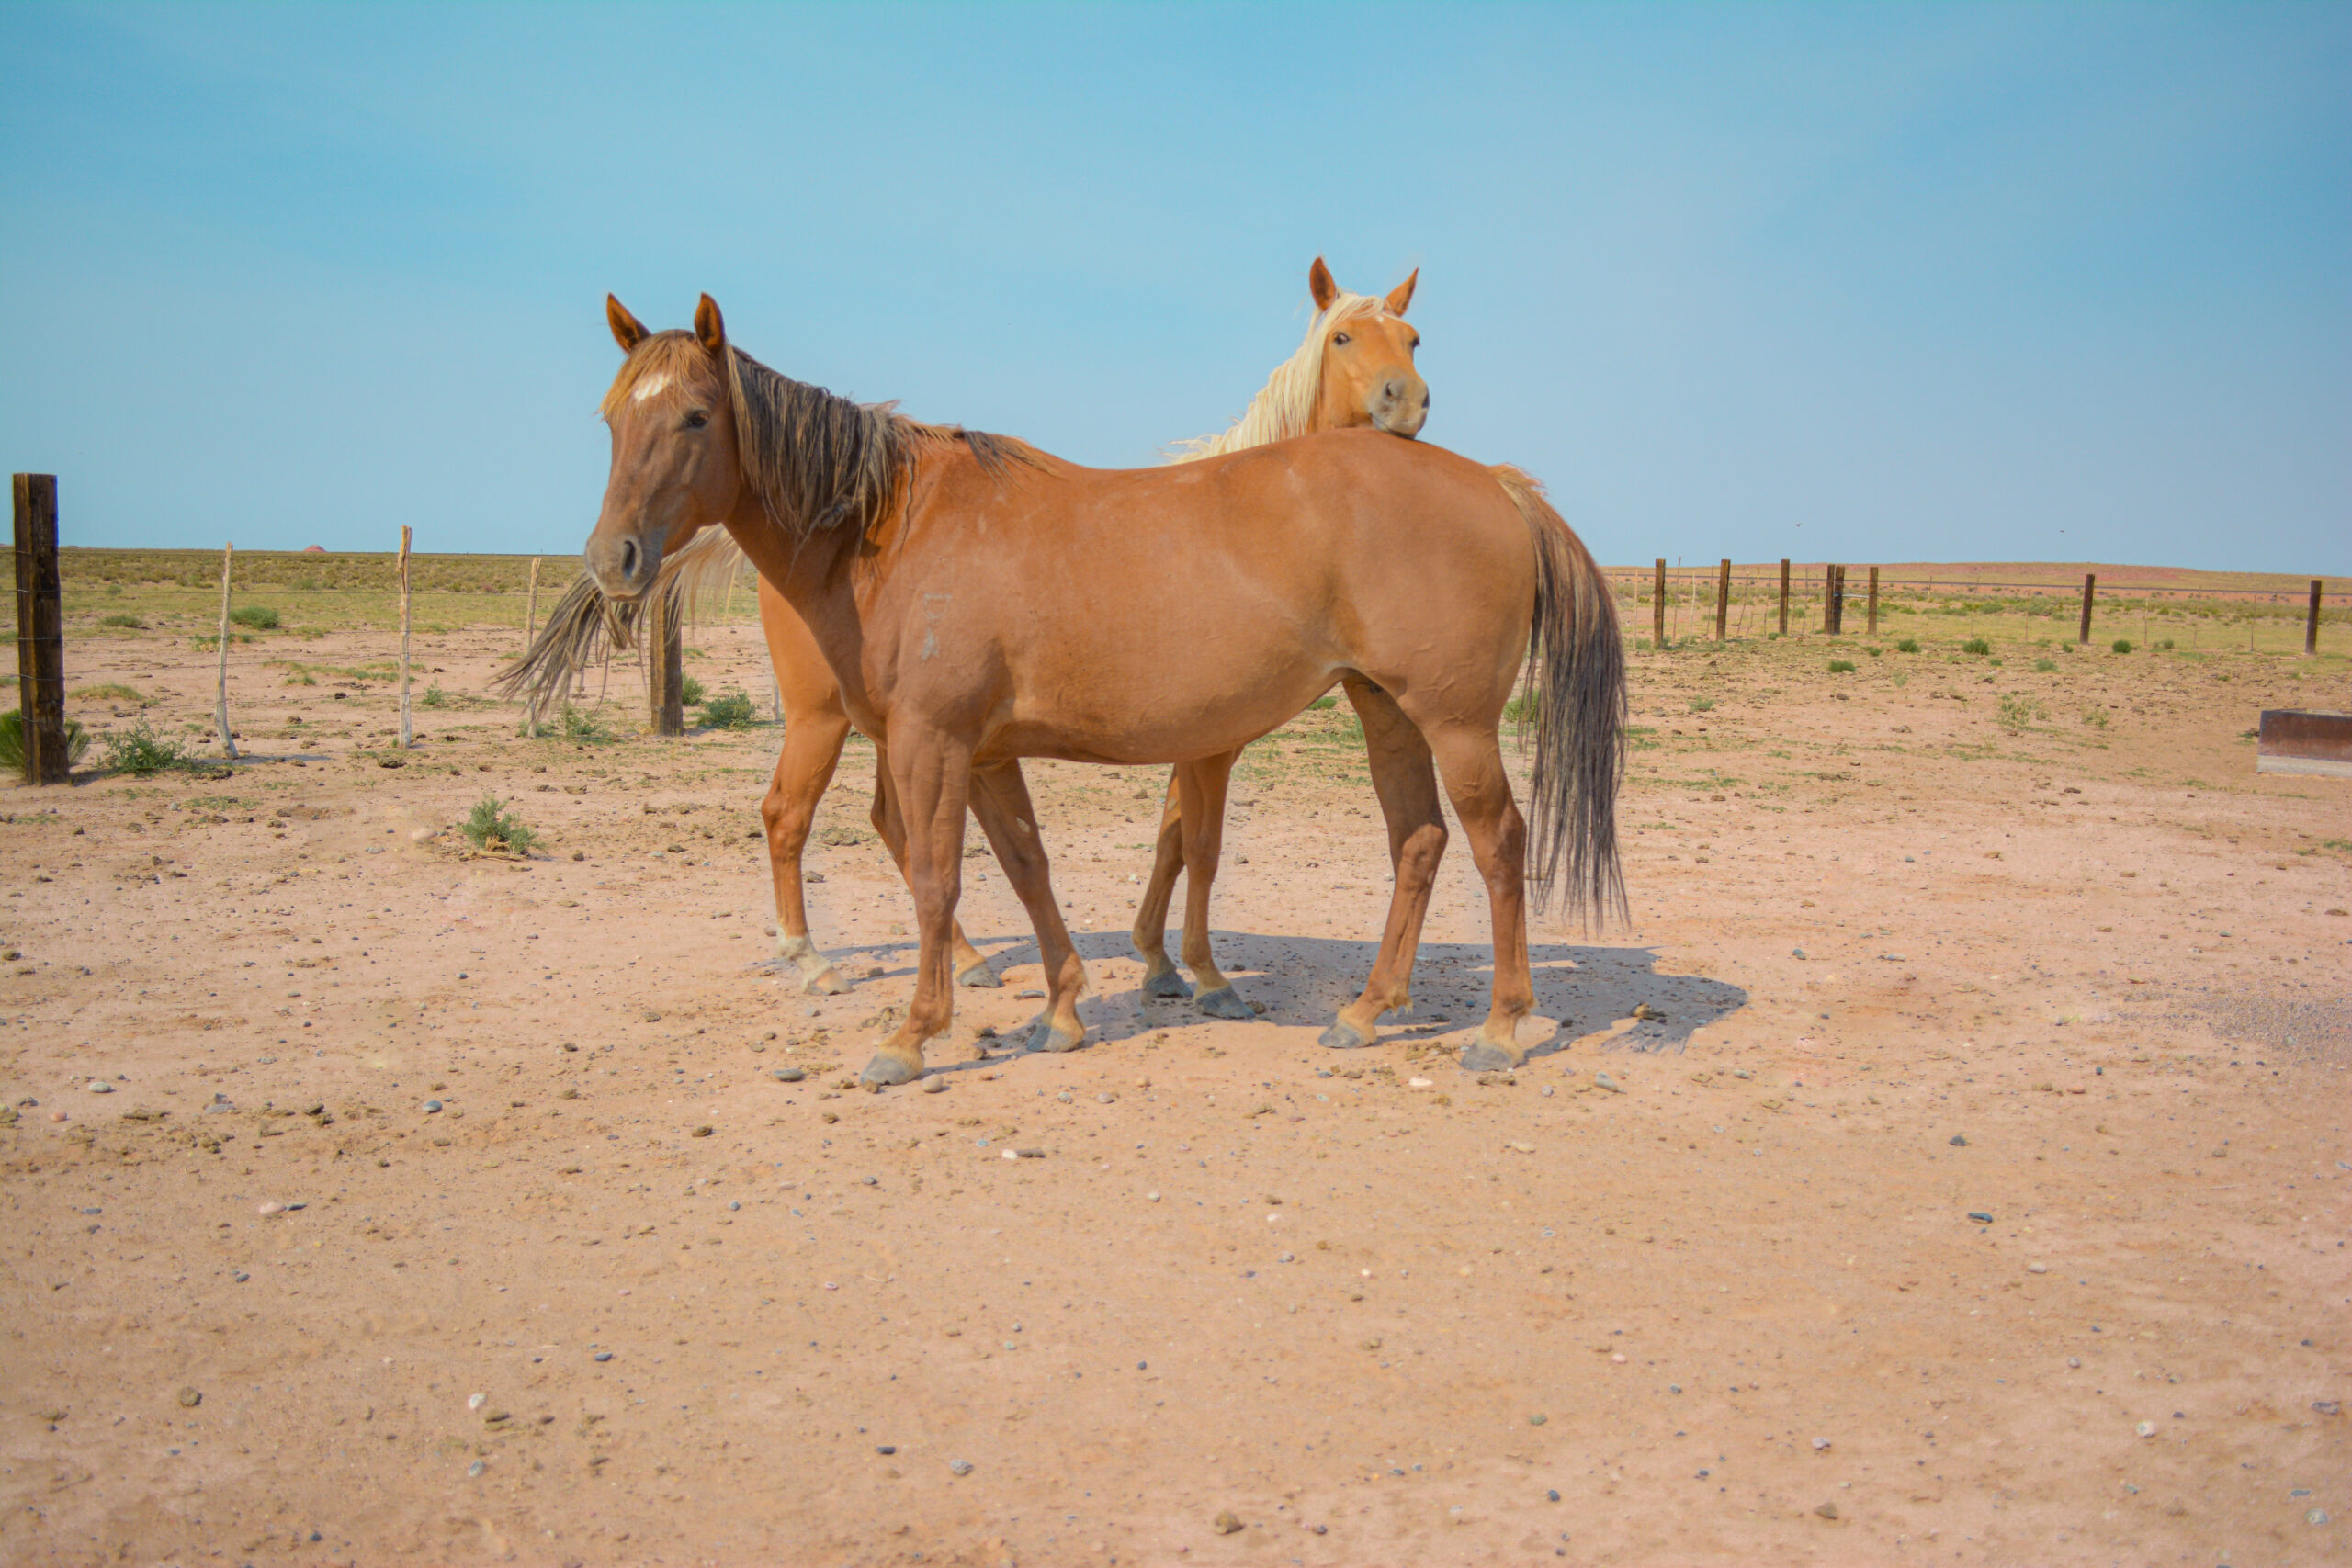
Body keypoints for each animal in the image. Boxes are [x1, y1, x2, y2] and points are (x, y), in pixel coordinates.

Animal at [506, 259, 1427, 1015]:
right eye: (1342, 335)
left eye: (1414, 336)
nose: (613, 556)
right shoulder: (1205, 738)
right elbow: (1190, 844)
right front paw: (1187, 969)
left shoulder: (1187, 734)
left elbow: (1170, 839)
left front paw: (1162, 962)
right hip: (822, 718)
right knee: (788, 815)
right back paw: (811, 959)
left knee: (884, 821)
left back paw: (968, 956)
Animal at [576, 294, 1624, 1088]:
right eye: (610, 416)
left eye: (696, 417)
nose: (612, 559)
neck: (893, 526)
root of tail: (1493, 482)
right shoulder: (983, 751)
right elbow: (1027, 868)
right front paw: (1064, 1008)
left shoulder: (935, 741)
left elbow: (941, 877)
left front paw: (911, 1037)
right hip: (1387, 711)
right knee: (1418, 842)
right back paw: (1366, 1011)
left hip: (1454, 723)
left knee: (1497, 844)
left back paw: (1499, 1028)